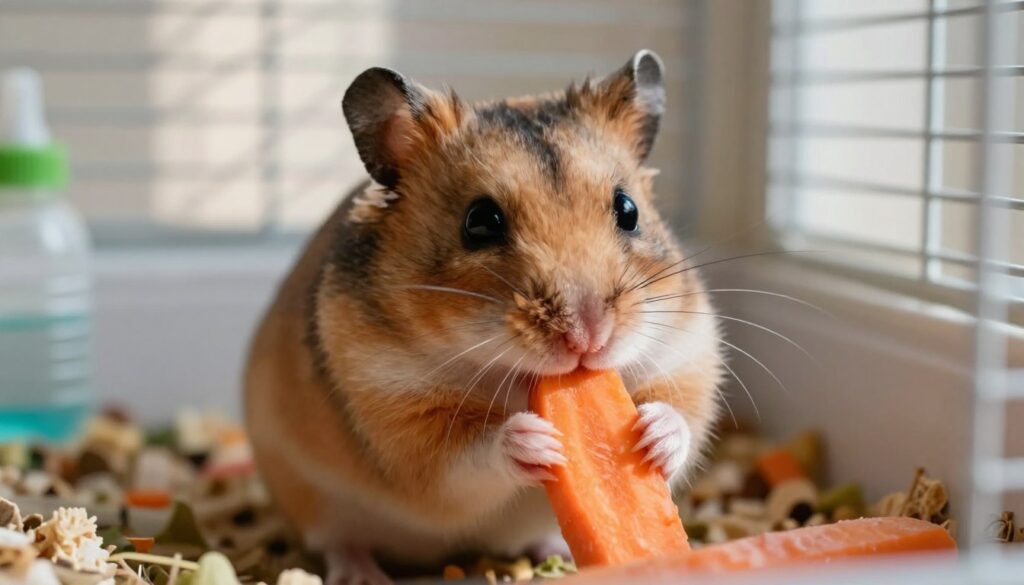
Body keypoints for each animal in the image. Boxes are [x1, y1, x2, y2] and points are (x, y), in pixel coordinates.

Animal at [244, 50, 723, 585]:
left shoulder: (687, 355)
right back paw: (362, 573)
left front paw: (651, 435)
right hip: (311, 501)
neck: (512, 375)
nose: (588, 338)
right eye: (480, 222)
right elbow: (467, 456)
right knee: (339, 543)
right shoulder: (398, 413)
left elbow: (683, 415)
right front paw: (537, 441)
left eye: (628, 209)